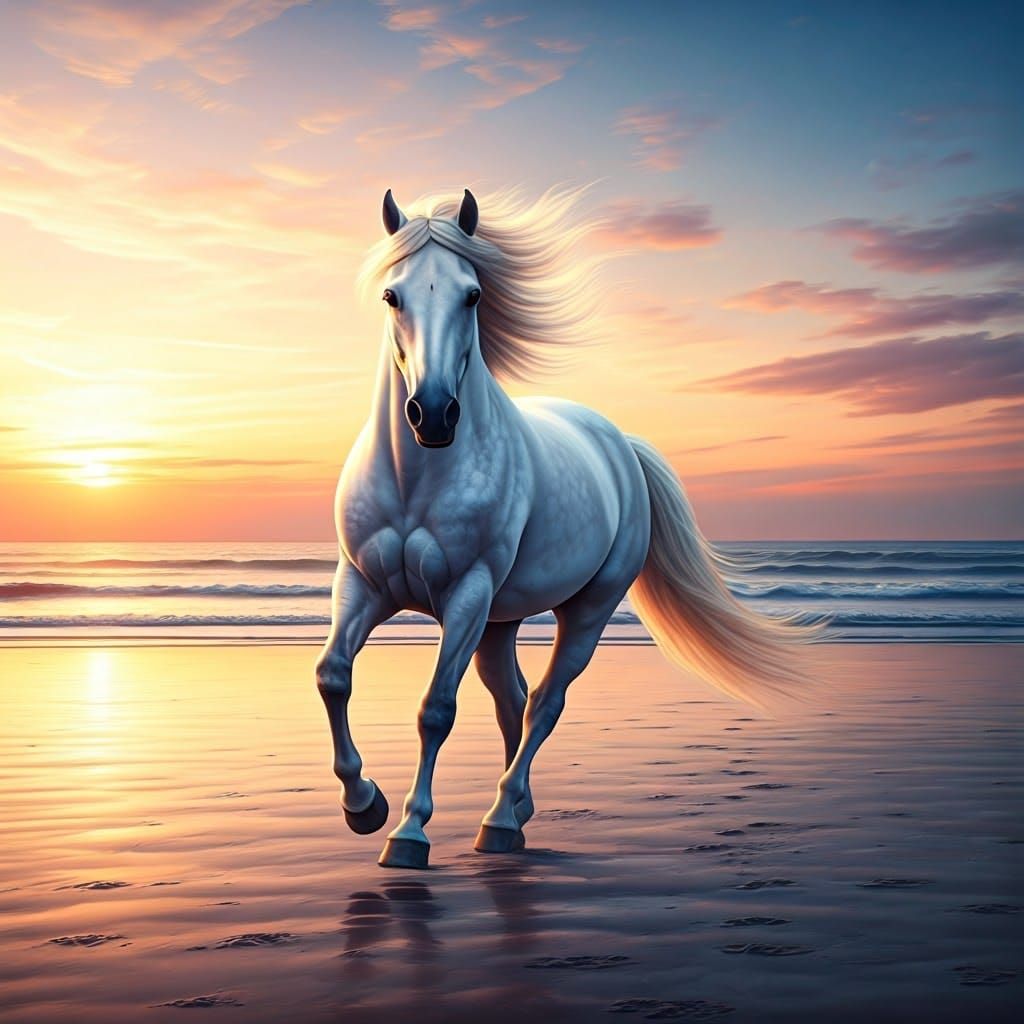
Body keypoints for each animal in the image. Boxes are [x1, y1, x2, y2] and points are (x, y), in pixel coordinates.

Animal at [316, 187, 816, 870]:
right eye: (393, 295)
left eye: (472, 295)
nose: (435, 414)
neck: (417, 476)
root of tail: (618, 442)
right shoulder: (362, 584)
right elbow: (333, 675)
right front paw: (363, 805)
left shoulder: (467, 593)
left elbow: (436, 710)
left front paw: (409, 833)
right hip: (498, 622)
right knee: (513, 700)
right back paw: (515, 814)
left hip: (582, 610)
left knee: (544, 704)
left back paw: (502, 818)